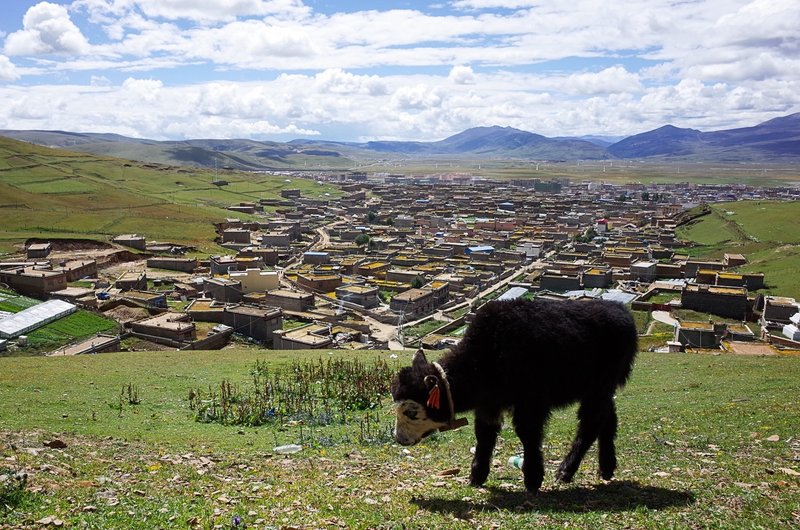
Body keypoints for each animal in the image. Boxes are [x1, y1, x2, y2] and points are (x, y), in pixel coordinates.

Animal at [390, 296, 636, 490]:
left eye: (411, 411)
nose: (399, 439)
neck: (483, 357)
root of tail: (624, 313)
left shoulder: (531, 401)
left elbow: (527, 433)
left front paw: (533, 479)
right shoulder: (489, 404)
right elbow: (485, 435)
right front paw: (476, 476)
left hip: (598, 387)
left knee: (590, 424)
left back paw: (565, 471)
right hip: (600, 388)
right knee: (608, 418)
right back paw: (606, 468)